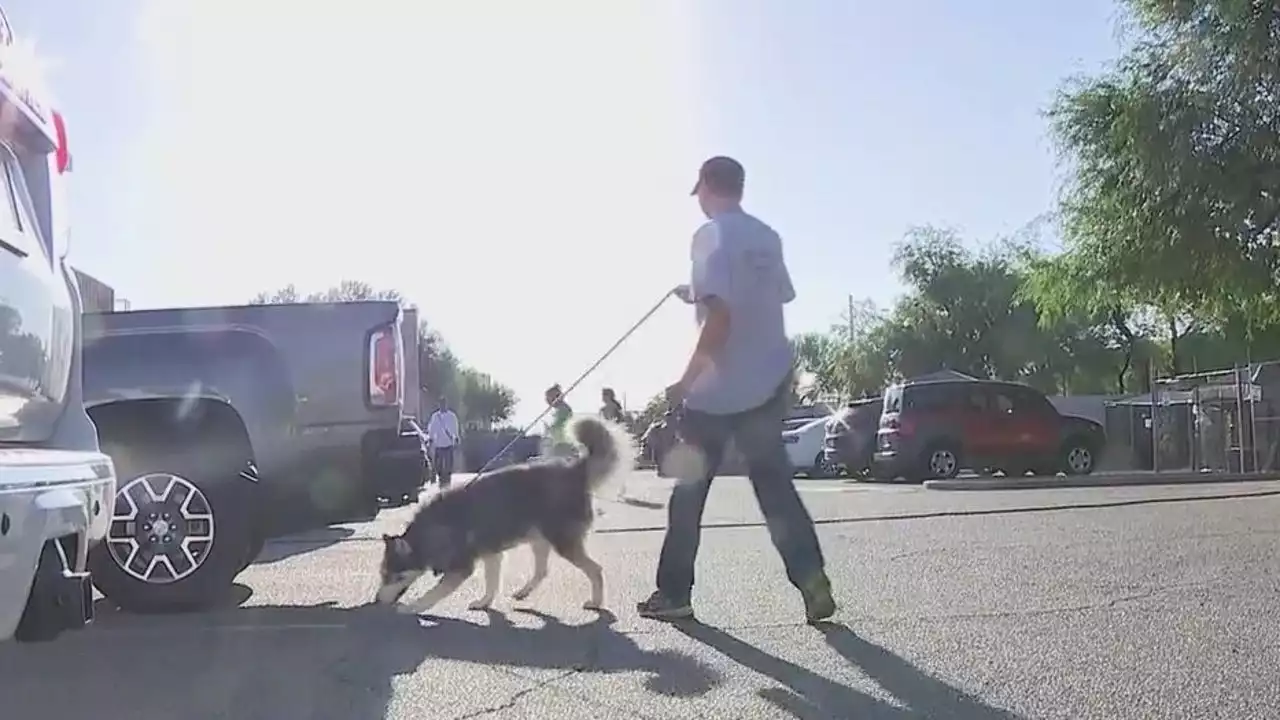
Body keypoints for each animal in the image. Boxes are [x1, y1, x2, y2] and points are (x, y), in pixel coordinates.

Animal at [373, 415, 634, 609]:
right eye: (382, 574)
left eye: (394, 576)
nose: (376, 601)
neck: (433, 528)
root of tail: (575, 470)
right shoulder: (492, 554)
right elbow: (492, 582)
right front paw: (484, 602)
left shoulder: (462, 567)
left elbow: (434, 594)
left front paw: (414, 607)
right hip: (539, 539)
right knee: (542, 571)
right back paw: (523, 592)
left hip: (563, 542)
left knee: (595, 569)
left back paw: (596, 602)